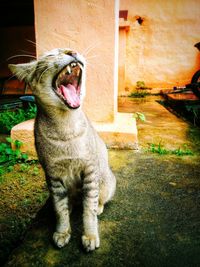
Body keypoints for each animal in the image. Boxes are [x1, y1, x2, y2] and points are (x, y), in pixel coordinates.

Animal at [8, 48, 116, 253]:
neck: (65, 126)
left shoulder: (90, 171)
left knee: (97, 200)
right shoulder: (53, 176)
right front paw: (62, 232)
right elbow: (60, 209)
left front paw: (90, 236)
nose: (72, 51)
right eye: (50, 54)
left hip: (106, 181)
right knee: (68, 203)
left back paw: (98, 206)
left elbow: (89, 209)